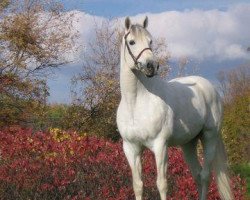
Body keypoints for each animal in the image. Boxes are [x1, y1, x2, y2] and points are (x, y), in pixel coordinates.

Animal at [116, 17, 233, 200]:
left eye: (150, 41)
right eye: (132, 42)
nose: (151, 65)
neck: (136, 103)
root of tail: (209, 88)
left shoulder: (160, 146)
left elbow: (162, 184)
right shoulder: (131, 148)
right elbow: (138, 185)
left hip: (209, 137)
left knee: (205, 176)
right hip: (189, 144)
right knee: (197, 175)